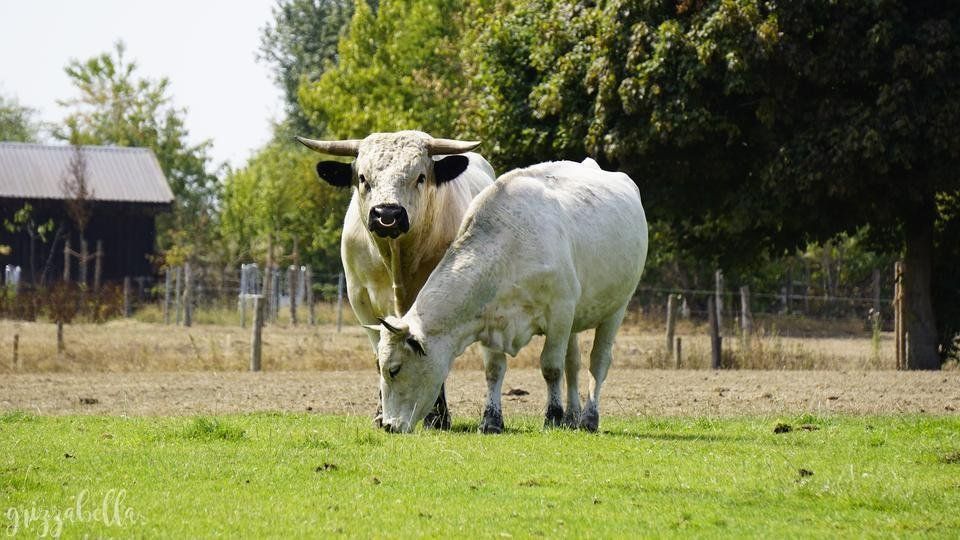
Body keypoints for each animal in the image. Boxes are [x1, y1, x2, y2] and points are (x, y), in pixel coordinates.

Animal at [296, 129, 506, 428]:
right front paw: (380, 412)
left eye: (420, 176)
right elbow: (379, 354)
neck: (397, 259)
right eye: (363, 177)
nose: (387, 214)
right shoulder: (360, 300)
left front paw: (437, 417)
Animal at [372, 158, 648, 432]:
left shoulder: (559, 311)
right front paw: (491, 420)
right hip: (575, 319)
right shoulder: (487, 319)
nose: (387, 425)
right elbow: (494, 370)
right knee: (574, 363)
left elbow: (551, 367)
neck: (509, 250)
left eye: (394, 369)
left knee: (598, 362)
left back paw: (589, 417)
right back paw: (572, 416)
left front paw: (553, 416)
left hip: (616, 308)